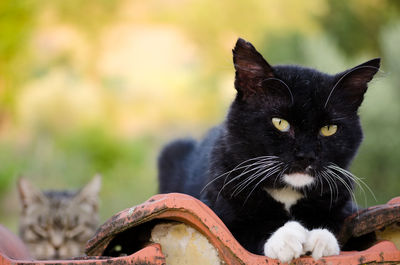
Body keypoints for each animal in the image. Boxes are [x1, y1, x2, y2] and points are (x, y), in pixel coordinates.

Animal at [158, 37, 380, 262]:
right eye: (280, 122)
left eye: (329, 129)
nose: (306, 155)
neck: (288, 192)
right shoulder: (217, 207)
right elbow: (240, 232)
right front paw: (286, 238)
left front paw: (322, 239)